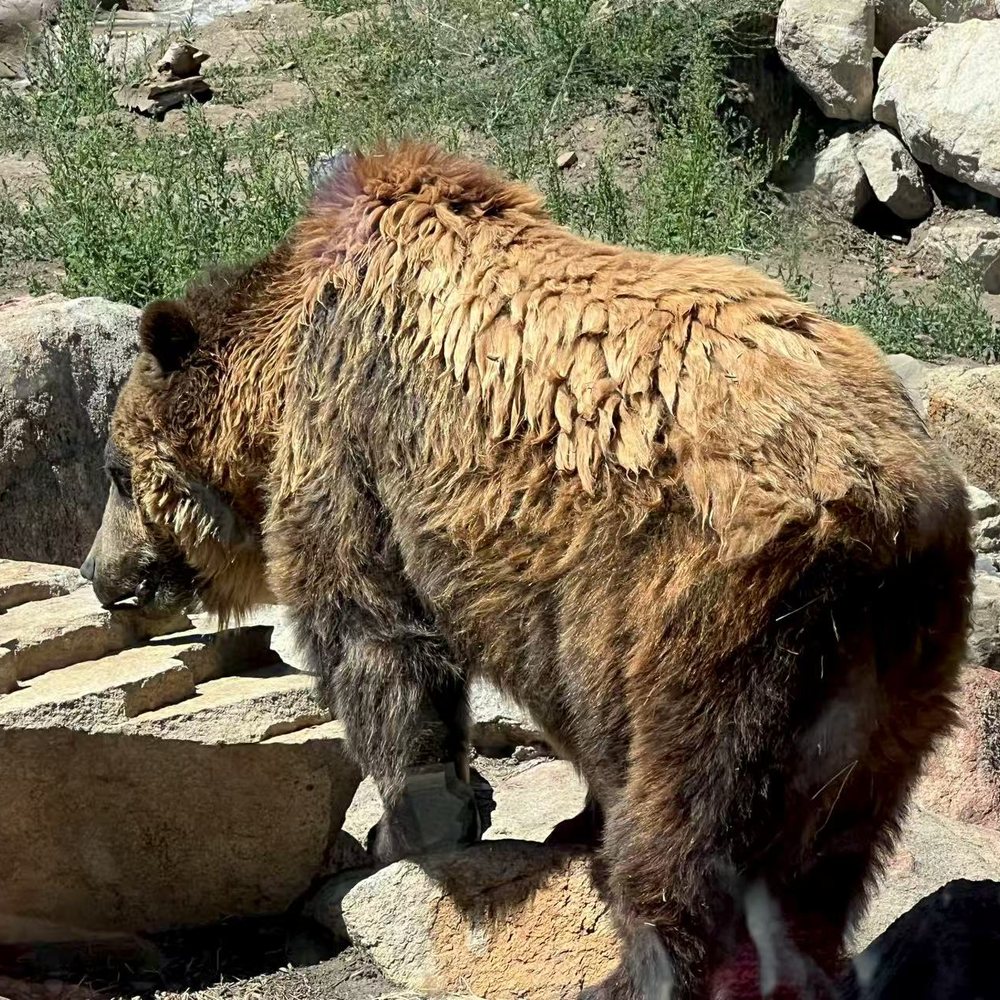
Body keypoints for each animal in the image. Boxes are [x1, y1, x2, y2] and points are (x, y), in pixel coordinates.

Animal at [81, 141, 974, 999]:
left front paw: (402, 826)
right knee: (834, 838)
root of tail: (878, 507)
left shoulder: (354, 444)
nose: (99, 571)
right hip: (894, 656)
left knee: (689, 815)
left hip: (706, 617)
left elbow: (375, 637)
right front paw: (511, 810)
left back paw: (630, 971)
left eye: (115, 471)